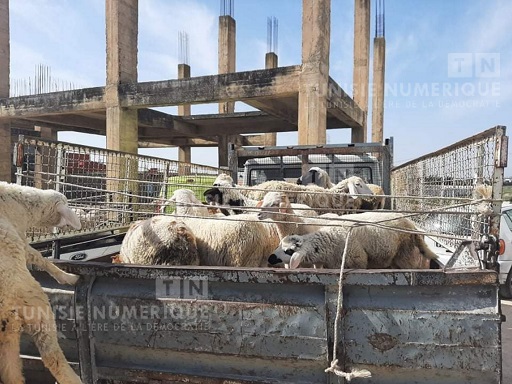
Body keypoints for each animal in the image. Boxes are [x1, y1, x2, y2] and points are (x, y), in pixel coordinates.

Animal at [0, 182, 83, 384]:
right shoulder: (20, 236)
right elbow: (39, 257)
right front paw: (67, 277)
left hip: (7, 332)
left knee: (10, 371)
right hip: (37, 308)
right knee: (52, 357)